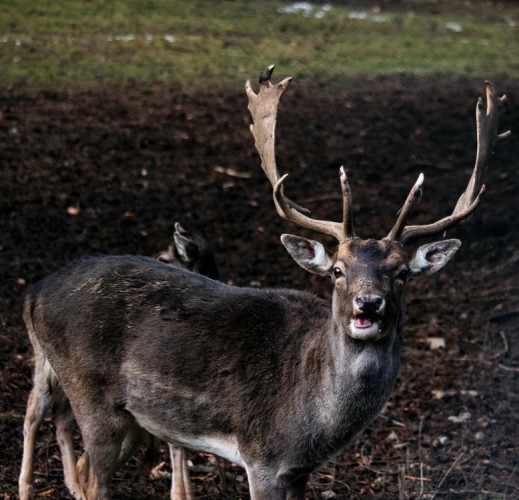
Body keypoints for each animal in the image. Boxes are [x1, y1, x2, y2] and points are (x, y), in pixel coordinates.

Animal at [19, 223, 219, 500]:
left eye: (163, 257)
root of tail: (30, 295)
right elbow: (175, 445)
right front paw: (180, 492)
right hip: (43, 357)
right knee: (33, 411)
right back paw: (26, 488)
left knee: (61, 413)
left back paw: (74, 484)